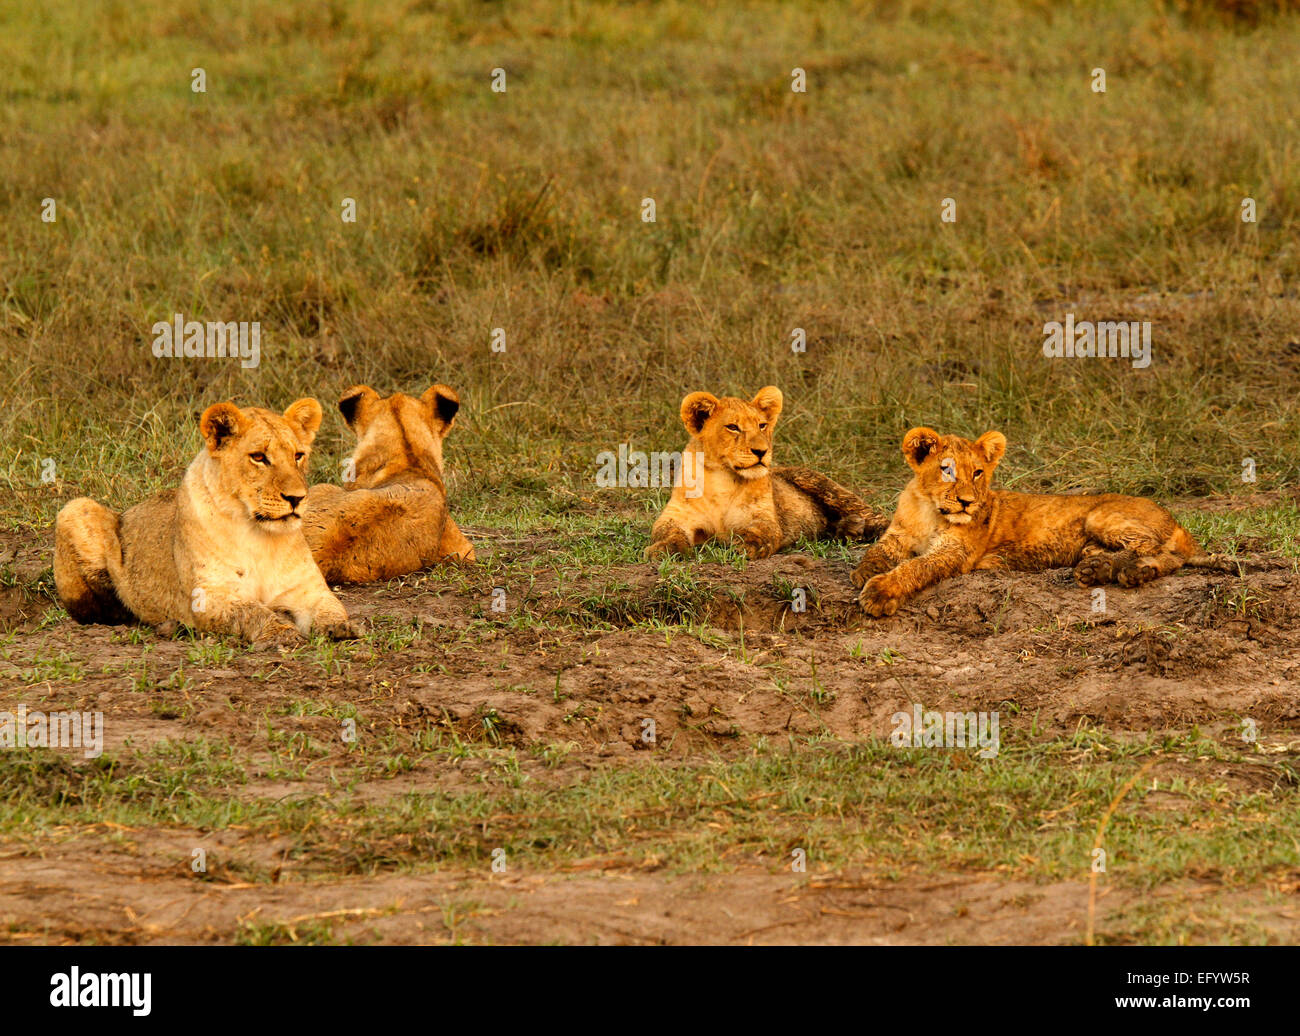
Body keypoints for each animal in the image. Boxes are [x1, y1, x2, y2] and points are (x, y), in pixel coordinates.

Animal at [54, 398, 358, 644]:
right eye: (259, 457)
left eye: (298, 455)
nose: (296, 498)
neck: (259, 534)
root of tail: (128, 511)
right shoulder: (209, 596)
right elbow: (253, 612)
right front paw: (280, 631)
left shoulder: (308, 589)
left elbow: (331, 606)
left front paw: (341, 627)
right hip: (76, 507)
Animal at [645, 386, 889, 561]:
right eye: (732, 427)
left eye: (762, 425)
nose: (762, 451)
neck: (723, 477)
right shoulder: (676, 515)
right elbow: (667, 532)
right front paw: (661, 549)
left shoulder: (764, 517)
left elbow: (759, 534)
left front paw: (742, 546)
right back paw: (849, 529)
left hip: (823, 486)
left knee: (875, 515)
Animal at [852, 426, 1209, 617]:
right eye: (947, 470)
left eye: (977, 472)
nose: (967, 501)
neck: (930, 510)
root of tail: (1175, 519)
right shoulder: (898, 534)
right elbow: (878, 551)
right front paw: (865, 572)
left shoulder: (955, 551)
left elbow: (916, 567)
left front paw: (880, 591)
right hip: (1092, 543)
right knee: (1157, 556)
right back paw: (1110, 571)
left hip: (1101, 516)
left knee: (1158, 550)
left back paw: (1123, 571)